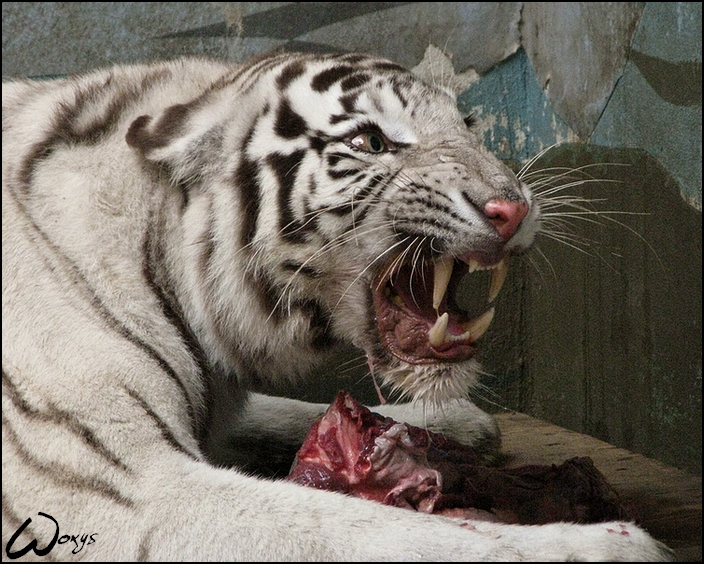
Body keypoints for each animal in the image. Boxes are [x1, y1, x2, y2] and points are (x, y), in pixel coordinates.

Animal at [1, 51, 672, 560]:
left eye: (469, 126)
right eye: (371, 141)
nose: (511, 209)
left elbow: (280, 413)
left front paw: (451, 421)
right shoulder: (115, 493)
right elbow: (374, 531)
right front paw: (609, 546)